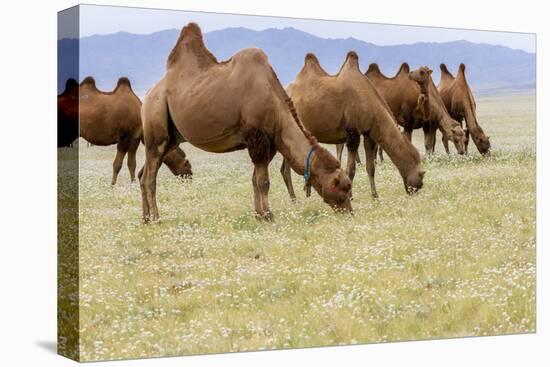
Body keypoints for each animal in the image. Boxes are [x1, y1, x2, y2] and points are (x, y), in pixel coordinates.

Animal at [139, 23, 354, 224]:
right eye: (341, 187)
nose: (350, 212)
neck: (275, 104)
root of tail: (148, 94)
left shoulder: (268, 142)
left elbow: (254, 180)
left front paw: (259, 215)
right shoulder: (256, 138)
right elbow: (264, 181)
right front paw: (269, 215)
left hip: (171, 138)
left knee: (144, 175)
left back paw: (145, 218)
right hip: (155, 124)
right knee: (150, 178)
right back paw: (156, 218)